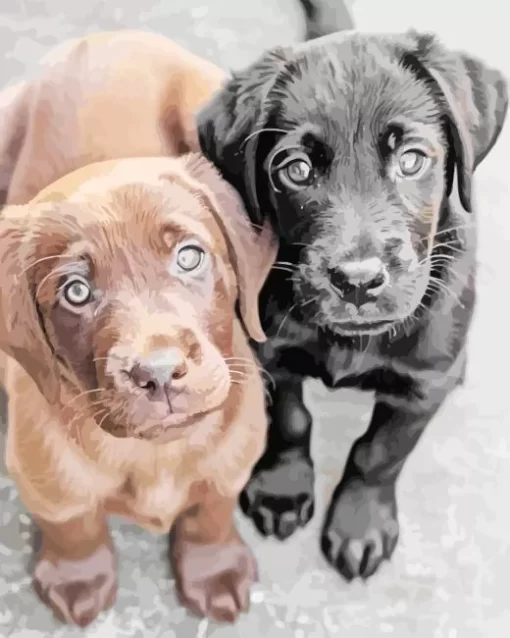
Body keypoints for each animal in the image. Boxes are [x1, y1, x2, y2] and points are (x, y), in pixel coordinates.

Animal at [197, 32, 508, 584]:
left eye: (412, 160)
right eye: (296, 169)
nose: (357, 281)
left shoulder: (423, 386)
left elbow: (379, 453)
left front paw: (360, 525)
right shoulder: (269, 355)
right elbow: (290, 420)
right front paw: (282, 489)